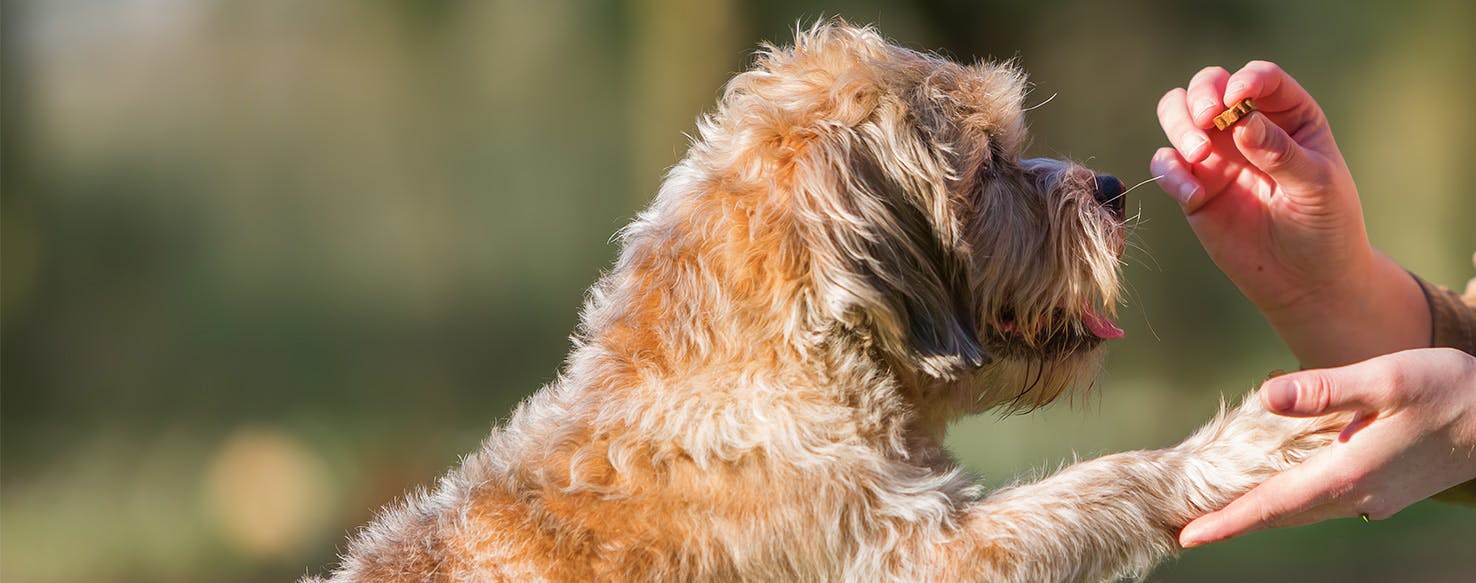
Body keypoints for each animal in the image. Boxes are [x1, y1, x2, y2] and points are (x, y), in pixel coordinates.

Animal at [314, 23, 1352, 583]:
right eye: (991, 163)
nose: (1109, 188)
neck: (772, 366)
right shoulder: (918, 556)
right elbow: (1102, 482)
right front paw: (1243, 443)